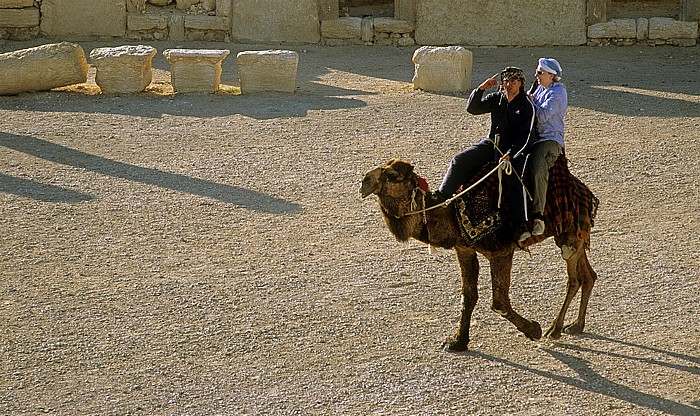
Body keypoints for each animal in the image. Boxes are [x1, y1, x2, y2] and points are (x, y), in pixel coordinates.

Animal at [360, 157, 596, 352]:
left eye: (391, 174)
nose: (364, 182)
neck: (451, 215)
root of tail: (583, 188)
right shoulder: (464, 249)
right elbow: (468, 295)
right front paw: (457, 341)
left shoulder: (501, 251)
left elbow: (499, 302)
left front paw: (533, 329)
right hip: (574, 233)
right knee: (588, 275)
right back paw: (576, 325)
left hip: (568, 231)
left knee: (574, 278)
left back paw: (554, 329)